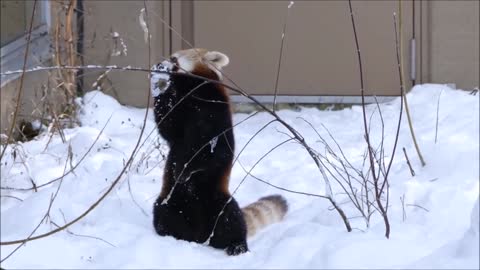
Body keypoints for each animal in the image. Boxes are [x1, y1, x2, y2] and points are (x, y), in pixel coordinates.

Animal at [150, 48, 286, 255]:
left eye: (174, 58)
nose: (160, 64)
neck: (192, 92)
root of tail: (200, 236)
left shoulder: (216, 115)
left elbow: (211, 153)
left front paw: (185, 170)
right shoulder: (179, 121)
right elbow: (167, 126)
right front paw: (158, 85)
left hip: (219, 201)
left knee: (232, 219)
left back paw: (237, 246)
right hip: (170, 201)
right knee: (163, 214)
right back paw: (172, 236)